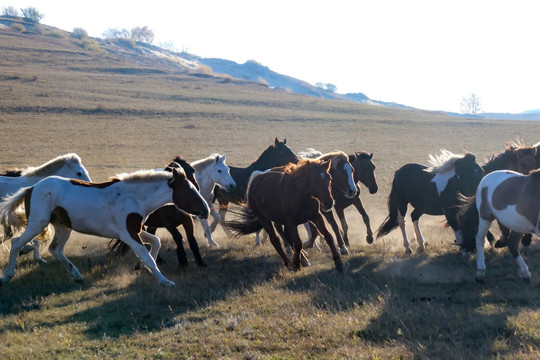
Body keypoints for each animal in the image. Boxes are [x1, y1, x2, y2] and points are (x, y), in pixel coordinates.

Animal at [0, 167, 210, 288]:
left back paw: (77, 276)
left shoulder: (134, 231)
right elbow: (148, 257)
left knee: (55, 249)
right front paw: (164, 281)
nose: (206, 210)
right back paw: (7, 275)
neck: (134, 197)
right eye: (188, 190)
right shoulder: (129, 234)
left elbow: (155, 243)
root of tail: (32, 188)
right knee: (17, 243)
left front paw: (141, 266)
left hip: (63, 226)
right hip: (38, 222)